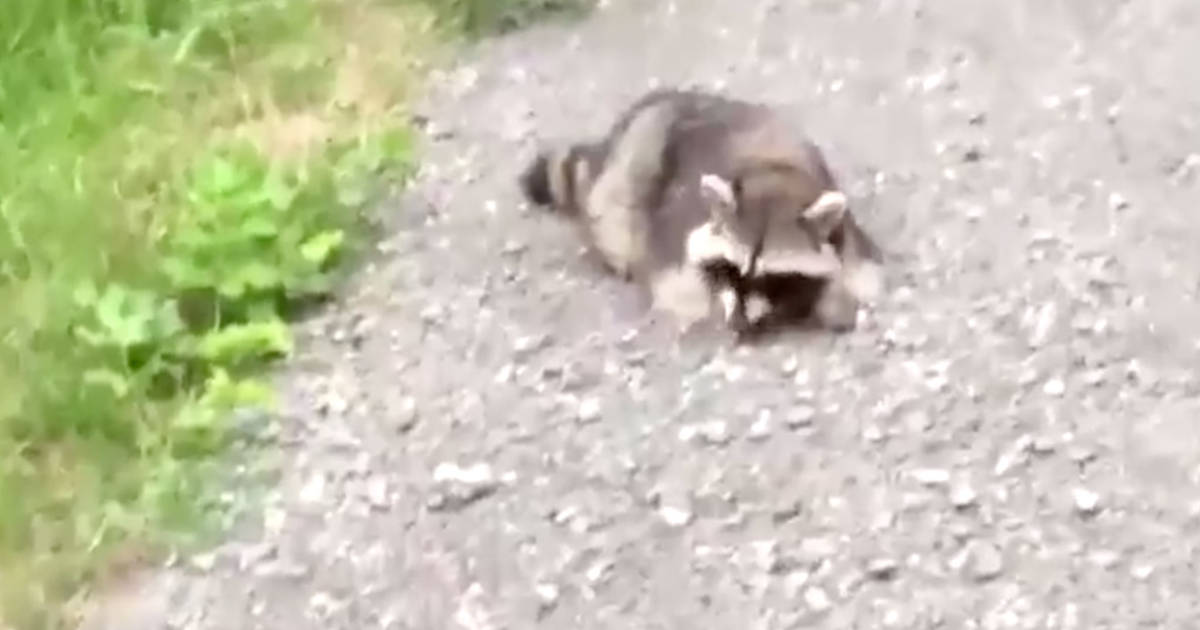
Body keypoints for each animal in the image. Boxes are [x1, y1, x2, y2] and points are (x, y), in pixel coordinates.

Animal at [518, 88, 883, 335]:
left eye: (771, 278)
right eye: (730, 268)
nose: (739, 323)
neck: (771, 177)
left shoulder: (846, 228)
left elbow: (864, 275)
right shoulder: (677, 230)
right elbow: (677, 284)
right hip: (626, 176)